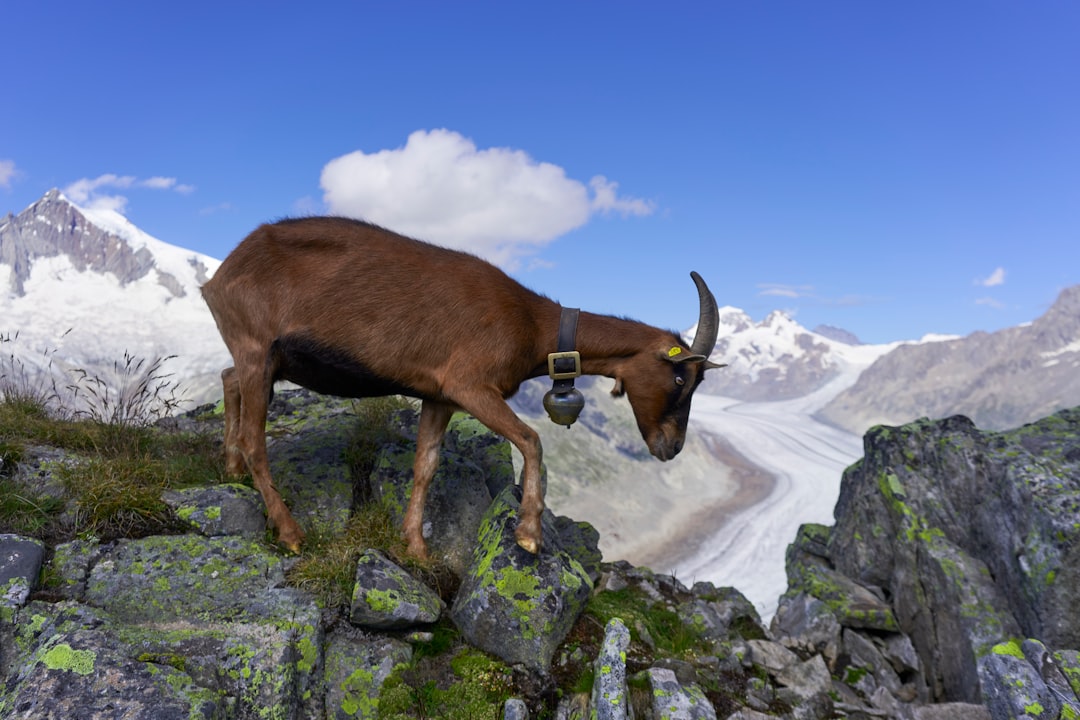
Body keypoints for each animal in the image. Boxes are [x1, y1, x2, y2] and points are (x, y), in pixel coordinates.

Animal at [203, 218, 725, 557]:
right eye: (681, 377)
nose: (671, 447)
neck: (533, 324)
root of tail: (219, 276)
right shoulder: (470, 384)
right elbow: (532, 440)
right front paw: (529, 533)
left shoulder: (439, 396)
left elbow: (425, 465)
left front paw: (415, 546)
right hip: (256, 347)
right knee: (254, 437)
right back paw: (289, 531)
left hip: (266, 360)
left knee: (229, 381)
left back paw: (229, 468)